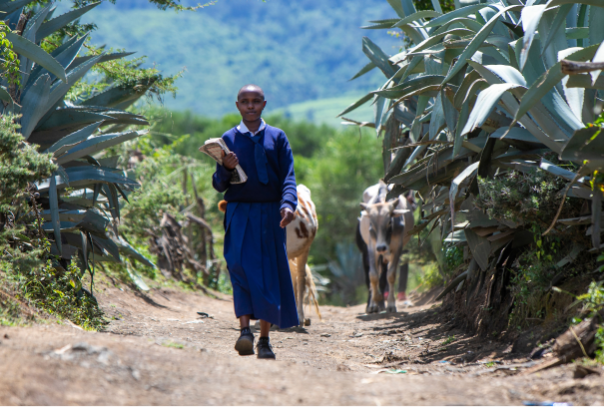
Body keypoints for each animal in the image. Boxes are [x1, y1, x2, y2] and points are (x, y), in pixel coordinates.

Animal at [358, 183, 416, 314]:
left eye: (389, 222)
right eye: (371, 224)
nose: (381, 247)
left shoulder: (397, 248)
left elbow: (391, 275)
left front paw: (390, 304)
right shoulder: (372, 248)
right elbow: (373, 276)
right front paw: (375, 302)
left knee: (384, 277)